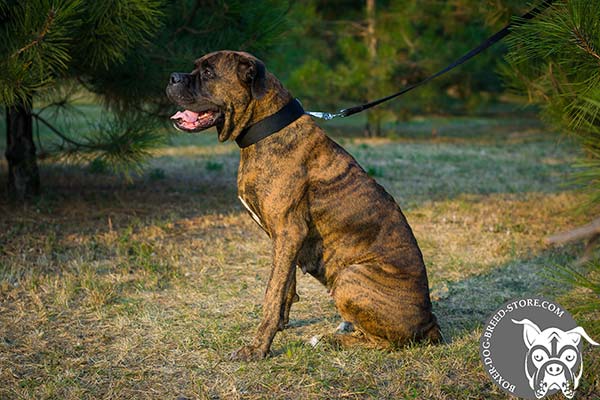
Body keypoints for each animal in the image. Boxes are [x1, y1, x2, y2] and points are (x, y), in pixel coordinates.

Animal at [166, 50, 442, 362]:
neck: (266, 129)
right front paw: (281, 324)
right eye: (195, 67)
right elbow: (286, 285)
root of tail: (430, 323)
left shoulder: (289, 232)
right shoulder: (286, 239)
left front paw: (258, 348)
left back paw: (329, 340)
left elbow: (271, 293)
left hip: (350, 276)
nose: (172, 77)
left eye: (208, 73)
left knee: (382, 342)